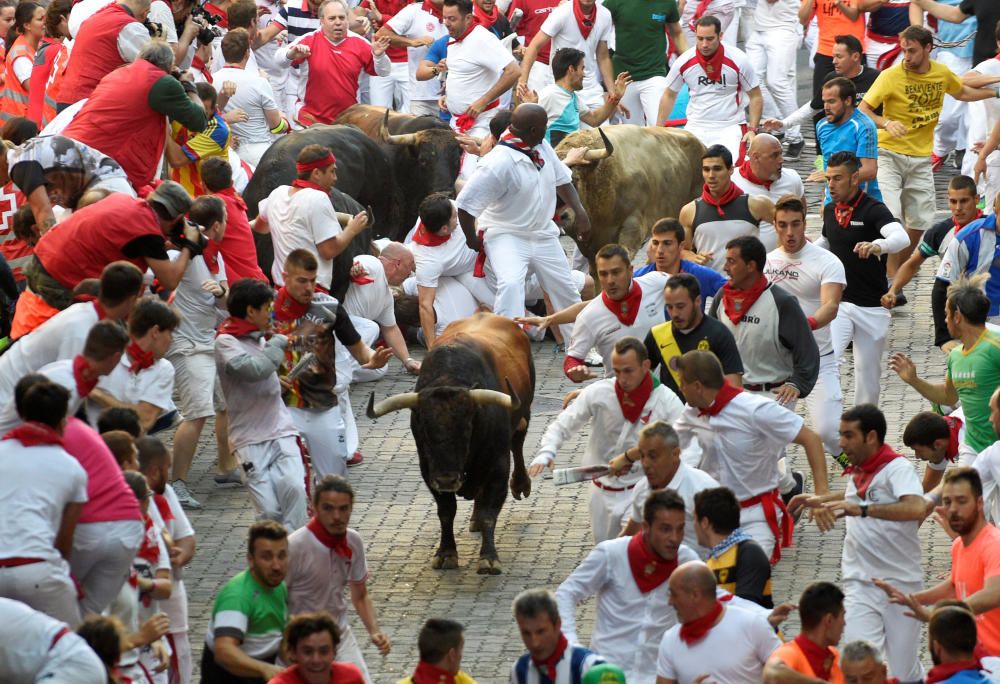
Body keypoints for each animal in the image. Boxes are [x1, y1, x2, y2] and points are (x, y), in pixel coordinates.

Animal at [368, 312, 536, 576]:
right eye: (424, 430)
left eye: (466, 427)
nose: (447, 479)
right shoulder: (428, 470)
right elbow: (446, 512)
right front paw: (446, 553)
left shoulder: (498, 465)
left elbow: (489, 512)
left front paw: (489, 558)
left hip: (523, 413)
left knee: (518, 444)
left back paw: (520, 484)